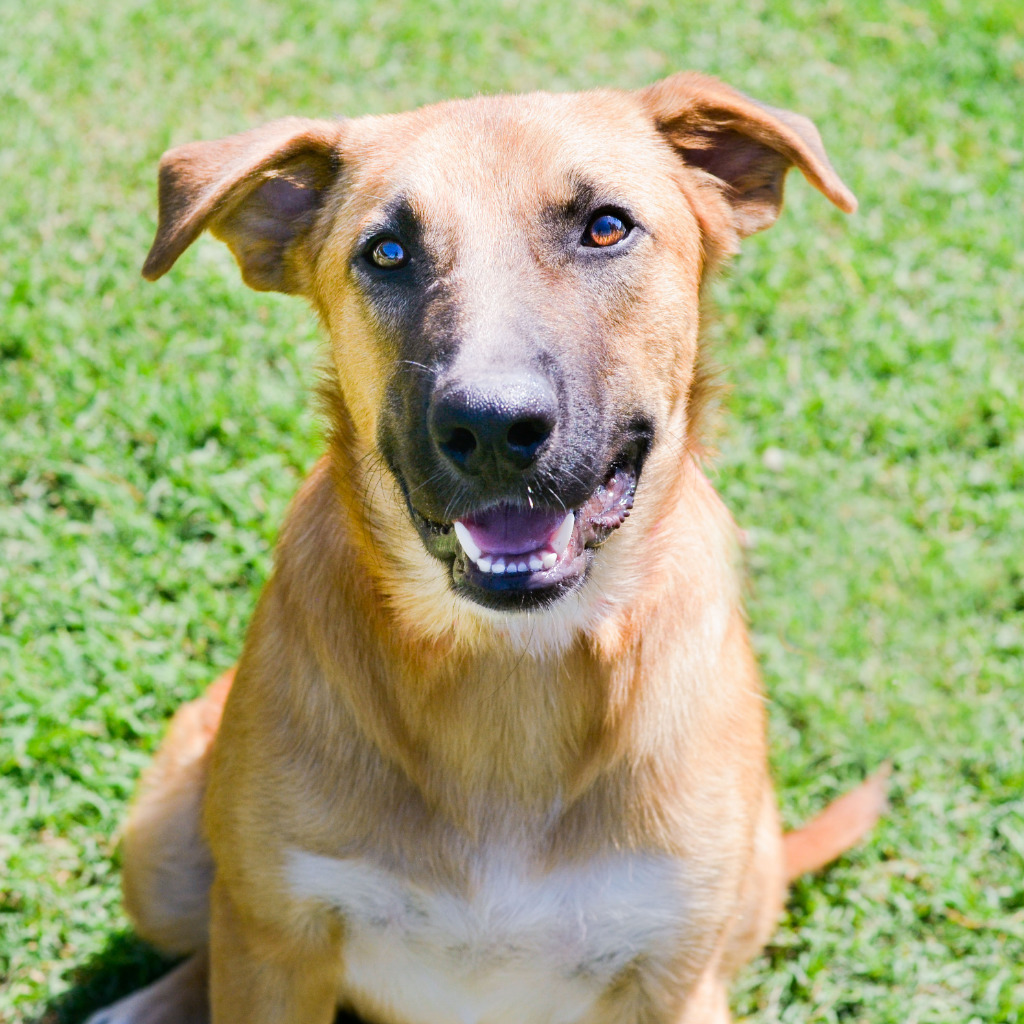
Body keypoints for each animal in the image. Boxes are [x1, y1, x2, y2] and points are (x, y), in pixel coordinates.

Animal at [90, 74, 888, 1024]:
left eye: (607, 227)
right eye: (387, 251)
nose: (494, 427)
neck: (511, 668)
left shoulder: (671, 975)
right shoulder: (277, 940)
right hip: (167, 848)